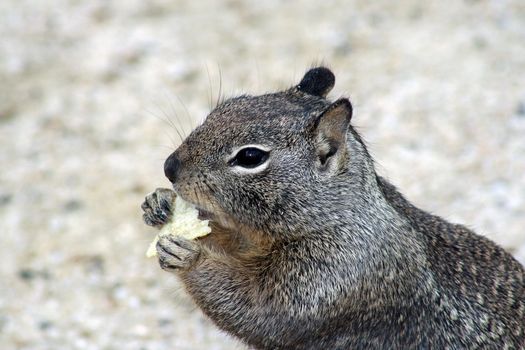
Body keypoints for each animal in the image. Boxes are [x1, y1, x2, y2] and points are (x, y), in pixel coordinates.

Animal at [141, 67, 520, 348]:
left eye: (250, 157)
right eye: (226, 106)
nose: (169, 167)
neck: (337, 213)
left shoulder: (332, 277)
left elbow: (256, 308)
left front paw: (190, 256)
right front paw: (159, 203)